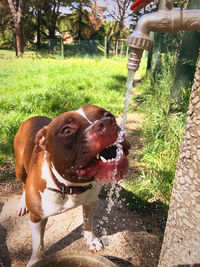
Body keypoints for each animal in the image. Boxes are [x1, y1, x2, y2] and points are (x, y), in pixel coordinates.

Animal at [14, 105, 130, 266]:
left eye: (109, 115)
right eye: (67, 131)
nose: (106, 123)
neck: (69, 186)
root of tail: (32, 118)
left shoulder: (90, 202)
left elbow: (88, 223)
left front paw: (91, 240)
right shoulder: (36, 217)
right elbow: (38, 244)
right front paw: (35, 261)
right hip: (19, 168)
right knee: (23, 183)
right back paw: (21, 205)